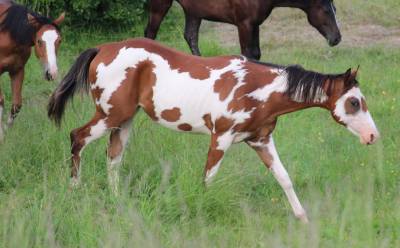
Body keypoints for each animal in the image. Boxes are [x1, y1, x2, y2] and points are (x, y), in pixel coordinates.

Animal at [0, 0, 64, 141]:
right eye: (39, 41)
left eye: (59, 40)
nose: (52, 73)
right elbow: (1, 100)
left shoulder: (17, 70)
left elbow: (16, 105)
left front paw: (4, 134)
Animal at [47, 38, 378, 223]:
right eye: (353, 102)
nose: (373, 136)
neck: (257, 87)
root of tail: (102, 49)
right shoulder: (222, 138)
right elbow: (208, 179)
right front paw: (198, 211)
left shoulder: (261, 141)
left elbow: (284, 178)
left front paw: (302, 217)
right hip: (109, 116)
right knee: (77, 138)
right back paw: (74, 189)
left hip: (124, 121)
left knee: (113, 158)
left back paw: (117, 200)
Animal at [145, 0, 342, 59]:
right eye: (326, 10)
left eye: (335, 9)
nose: (337, 38)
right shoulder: (244, 24)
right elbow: (247, 53)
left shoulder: (254, 24)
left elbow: (255, 54)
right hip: (160, 6)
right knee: (150, 34)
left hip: (193, 11)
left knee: (191, 37)